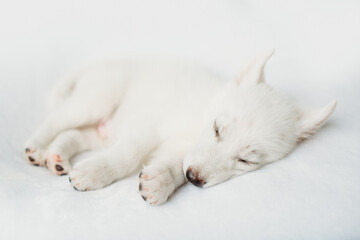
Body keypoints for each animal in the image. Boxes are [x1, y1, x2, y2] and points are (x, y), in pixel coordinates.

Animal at [23, 50, 336, 204]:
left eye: (246, 160)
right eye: (217, 129)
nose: (196, 180)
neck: (197, 119)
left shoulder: (182, 152)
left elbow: (175, 164)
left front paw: (160, 182)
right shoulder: (147, 127)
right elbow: (128, 156)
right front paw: (95, 172)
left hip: (100, 132)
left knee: (72, 135)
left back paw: (57, 158)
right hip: (96, 100)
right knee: (56, 120)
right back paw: (37, 148)